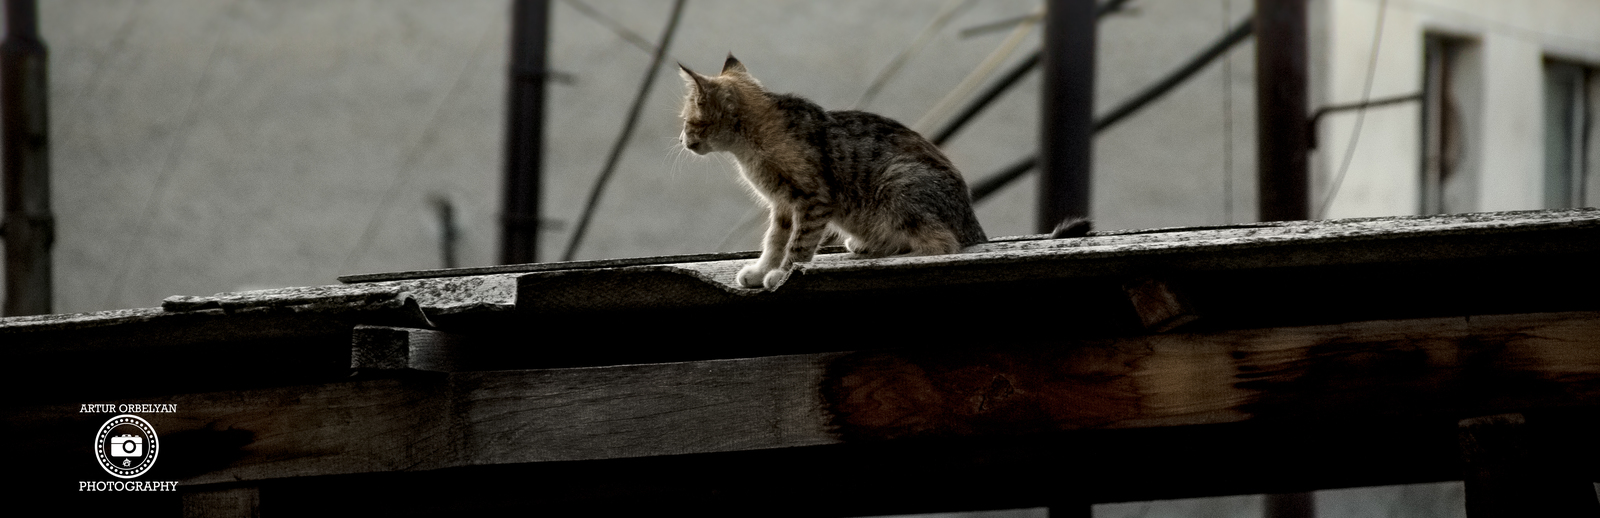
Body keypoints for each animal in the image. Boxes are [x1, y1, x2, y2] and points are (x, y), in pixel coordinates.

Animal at [675, 55, 1088, 290]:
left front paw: (782, 274)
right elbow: (774, 242)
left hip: (899, 182)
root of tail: (974, 227)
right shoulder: (782, 206)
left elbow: (798, 245)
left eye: (686, 120)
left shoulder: (813, 200)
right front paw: (762, 270)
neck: (751, 146)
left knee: (943, 244)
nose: (681, 139)